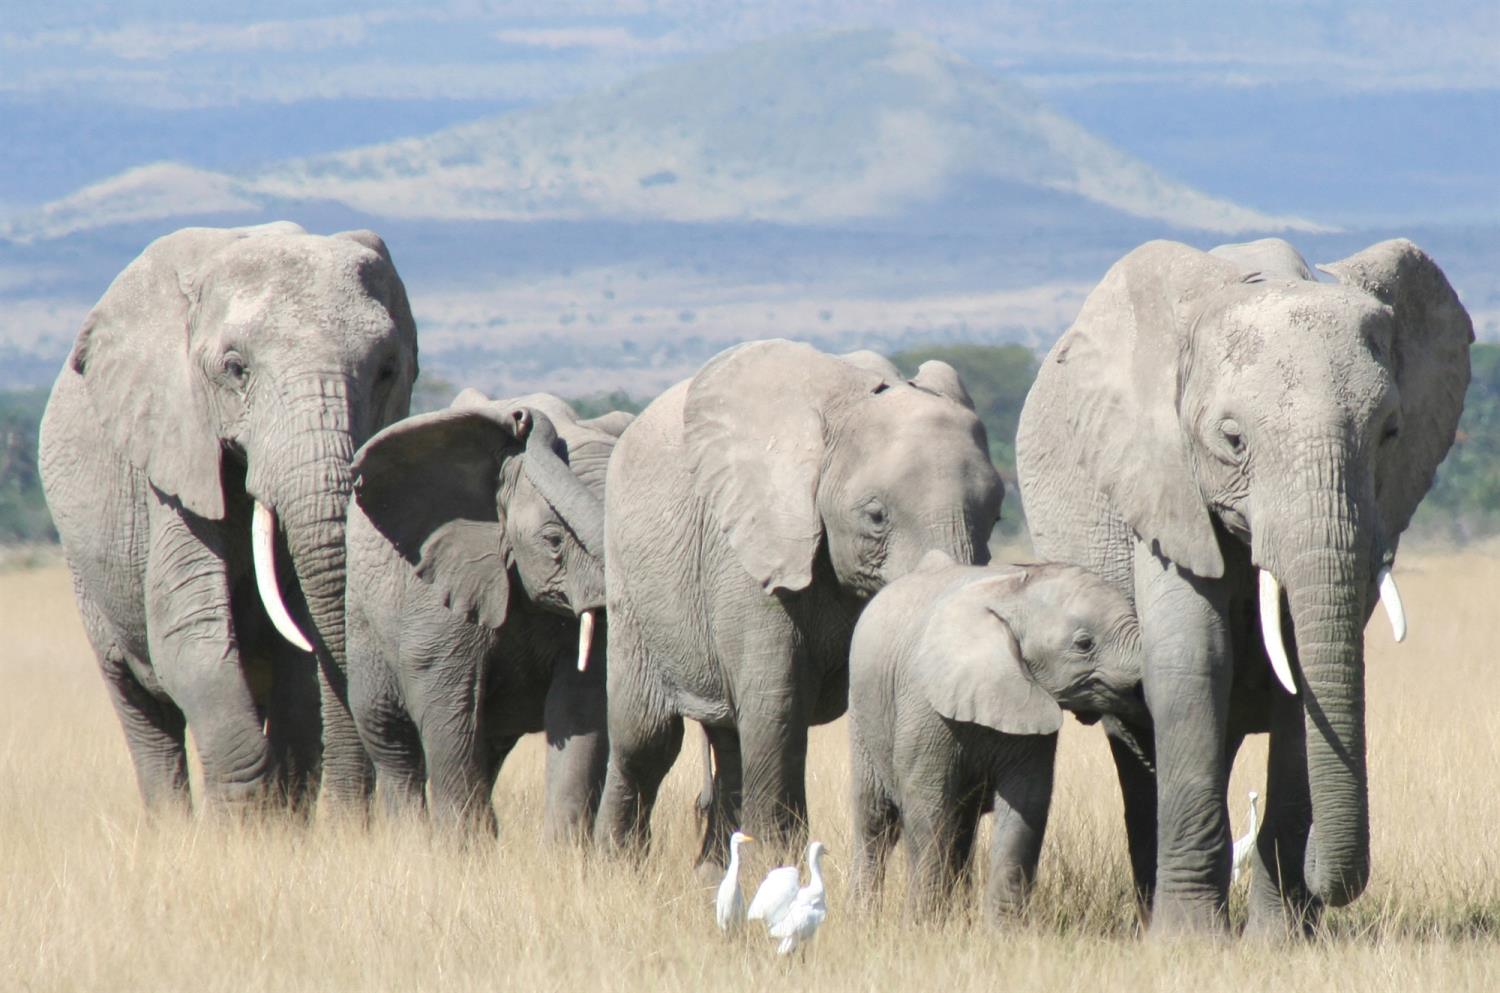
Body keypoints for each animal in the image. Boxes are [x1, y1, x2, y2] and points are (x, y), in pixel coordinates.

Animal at [41, 222, 417, 816]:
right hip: (86, 573)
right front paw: (242, 819)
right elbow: (187, 629)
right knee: (141, 707)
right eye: (236, 370)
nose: (352, 819)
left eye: (387, 371)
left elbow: (300, 657)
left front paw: (278, 816)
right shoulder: (174, 449)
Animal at [343, 390, 627, 840]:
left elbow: (581, 703)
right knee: (389, 736)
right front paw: (463, 850)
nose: (522, 417)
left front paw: (562, 853)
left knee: (489, 745)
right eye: (553, 541)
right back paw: (410, 839)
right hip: (363, 614)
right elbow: (446, 697)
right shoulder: (441, 582)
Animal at [591, 342, 1002, 870]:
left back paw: (712, 870)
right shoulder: (752, 551)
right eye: (876, 517)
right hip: (631, 579)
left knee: (728, 737)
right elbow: (778, 705)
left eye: (996, 514)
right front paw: (777, 866)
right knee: (646, 737)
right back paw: (615, 865)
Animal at [852, 552, 1152, 924]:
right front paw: (922, 926)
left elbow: (1027, 803)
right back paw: (863, 917)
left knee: (961, 826)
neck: (1011, 594)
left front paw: (1003, 930)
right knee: (876, 819)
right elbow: (927, 804)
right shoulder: (925, 707)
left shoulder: (1031, 712)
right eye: (1084, 644)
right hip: (864, 711)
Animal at [1014, 237, 1470, 936]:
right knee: (1137, 740)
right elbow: (1192, 660)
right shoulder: (1162, 478)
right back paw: (1156, 910)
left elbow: (1303, 683)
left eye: (1391, 434)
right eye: (1232, 440)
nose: (1324, 871)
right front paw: (1189, 942)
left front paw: (1280, 941)